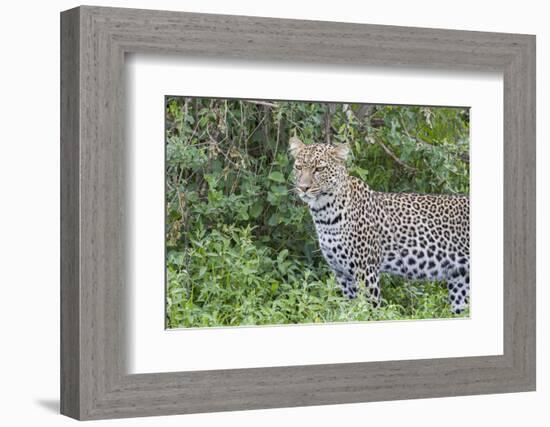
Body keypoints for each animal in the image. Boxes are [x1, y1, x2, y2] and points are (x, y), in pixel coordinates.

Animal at [292, 135, 472, 316]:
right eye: (299, 167)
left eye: (319, 169)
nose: (303, 188)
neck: (324, 214)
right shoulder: (343, 274)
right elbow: (352, 311)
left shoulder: (365, 271)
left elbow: (368, 311)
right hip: (460, 281)